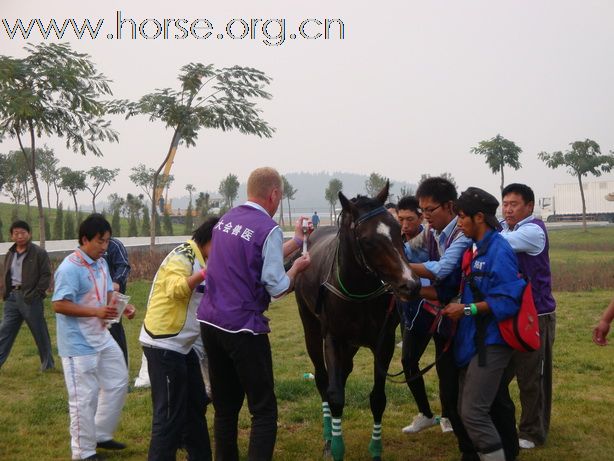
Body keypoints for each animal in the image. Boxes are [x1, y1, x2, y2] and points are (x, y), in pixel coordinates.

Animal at [294, 183, 422, 460]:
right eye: (367, 241)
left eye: (399, 231)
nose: (411, 284)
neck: (358, 291)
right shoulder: (332, 337)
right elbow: (334, 395)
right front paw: (336, 446)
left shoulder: (384, 341)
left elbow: (377, 398)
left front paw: (375, 448)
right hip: (310, 327)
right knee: (323, 379)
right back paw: (328, 435)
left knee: (343, 372)